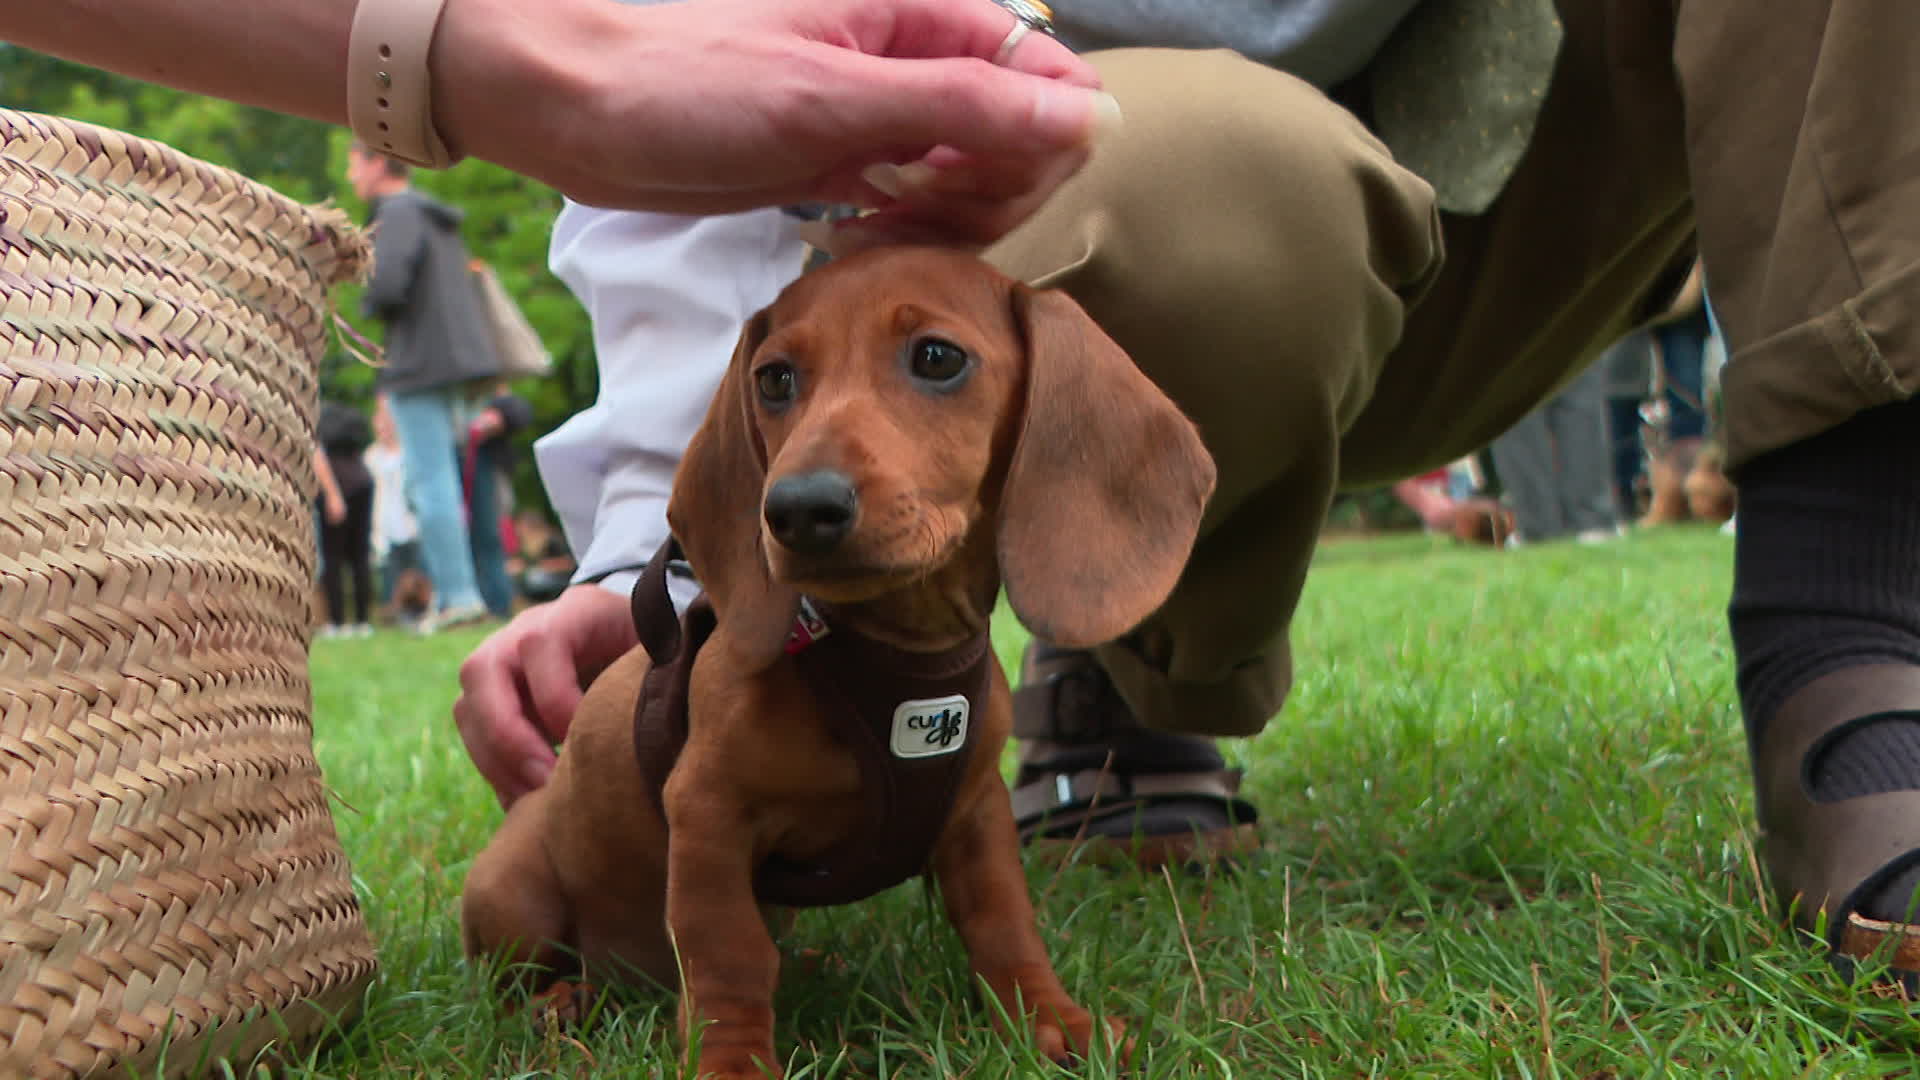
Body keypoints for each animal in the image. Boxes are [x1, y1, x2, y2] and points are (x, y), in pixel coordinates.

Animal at [462, 245, 1213, 1076]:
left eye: (938, 358)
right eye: (774, 378)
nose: (796, 508)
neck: (897, 658)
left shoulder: (977, 813)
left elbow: (1005, 925)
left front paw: (1052, 1021)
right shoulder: (707, 815)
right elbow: (728, 957)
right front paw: (731, 1062)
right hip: (513, 897)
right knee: (518, 979)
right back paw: (561, 1001)